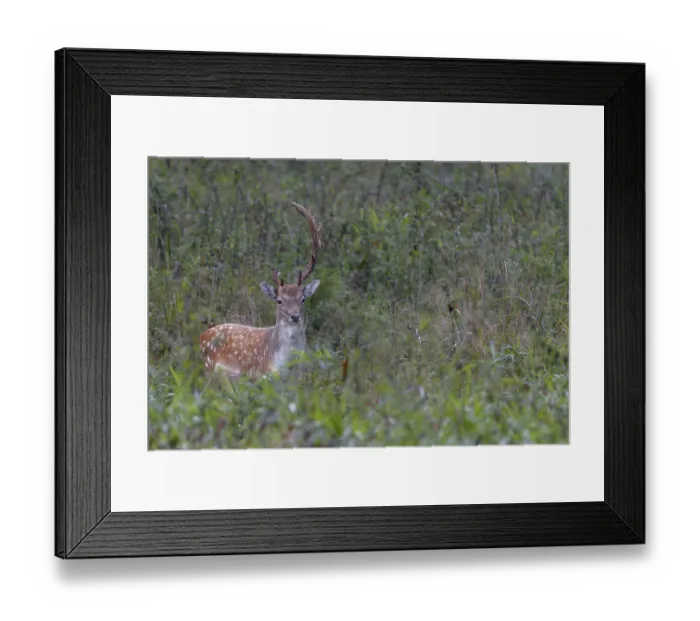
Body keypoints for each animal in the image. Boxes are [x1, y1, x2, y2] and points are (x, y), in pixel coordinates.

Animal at [199, 201, 321, 382]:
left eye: (303, 299)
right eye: (279, 300)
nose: (294, 316)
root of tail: (201, 336)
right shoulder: (260, 378)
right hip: (208, 371)